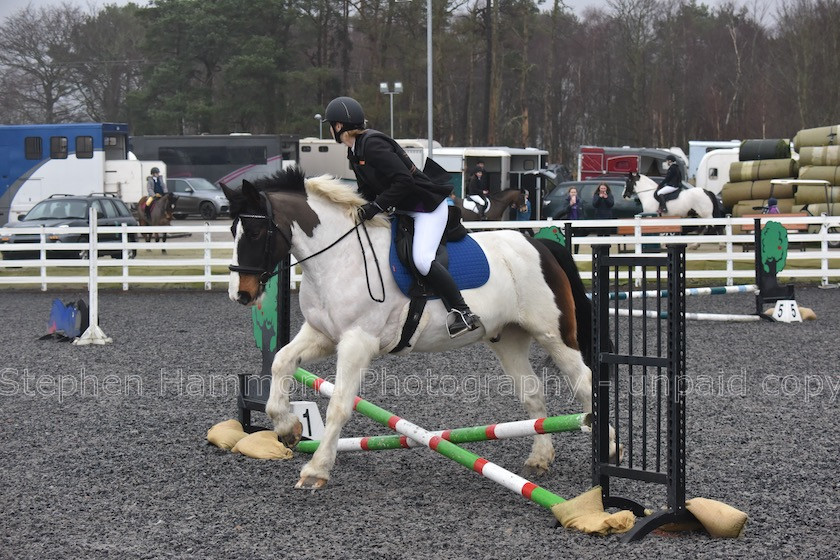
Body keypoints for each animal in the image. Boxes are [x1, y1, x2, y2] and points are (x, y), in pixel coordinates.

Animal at [223, 167, 616, 490]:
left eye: (256, 232)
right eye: (232, 230)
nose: (241, 294)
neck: (339, 257)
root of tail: (539, 243)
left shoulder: (357, 342)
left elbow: (339, 405)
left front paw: (316, 469)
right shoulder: (322, 335)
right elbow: (281, 362)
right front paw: (287, 427)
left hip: (553, 334)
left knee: (583, 381)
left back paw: (611, 447)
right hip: (509, 339)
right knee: (533, 394)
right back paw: (539, 458)